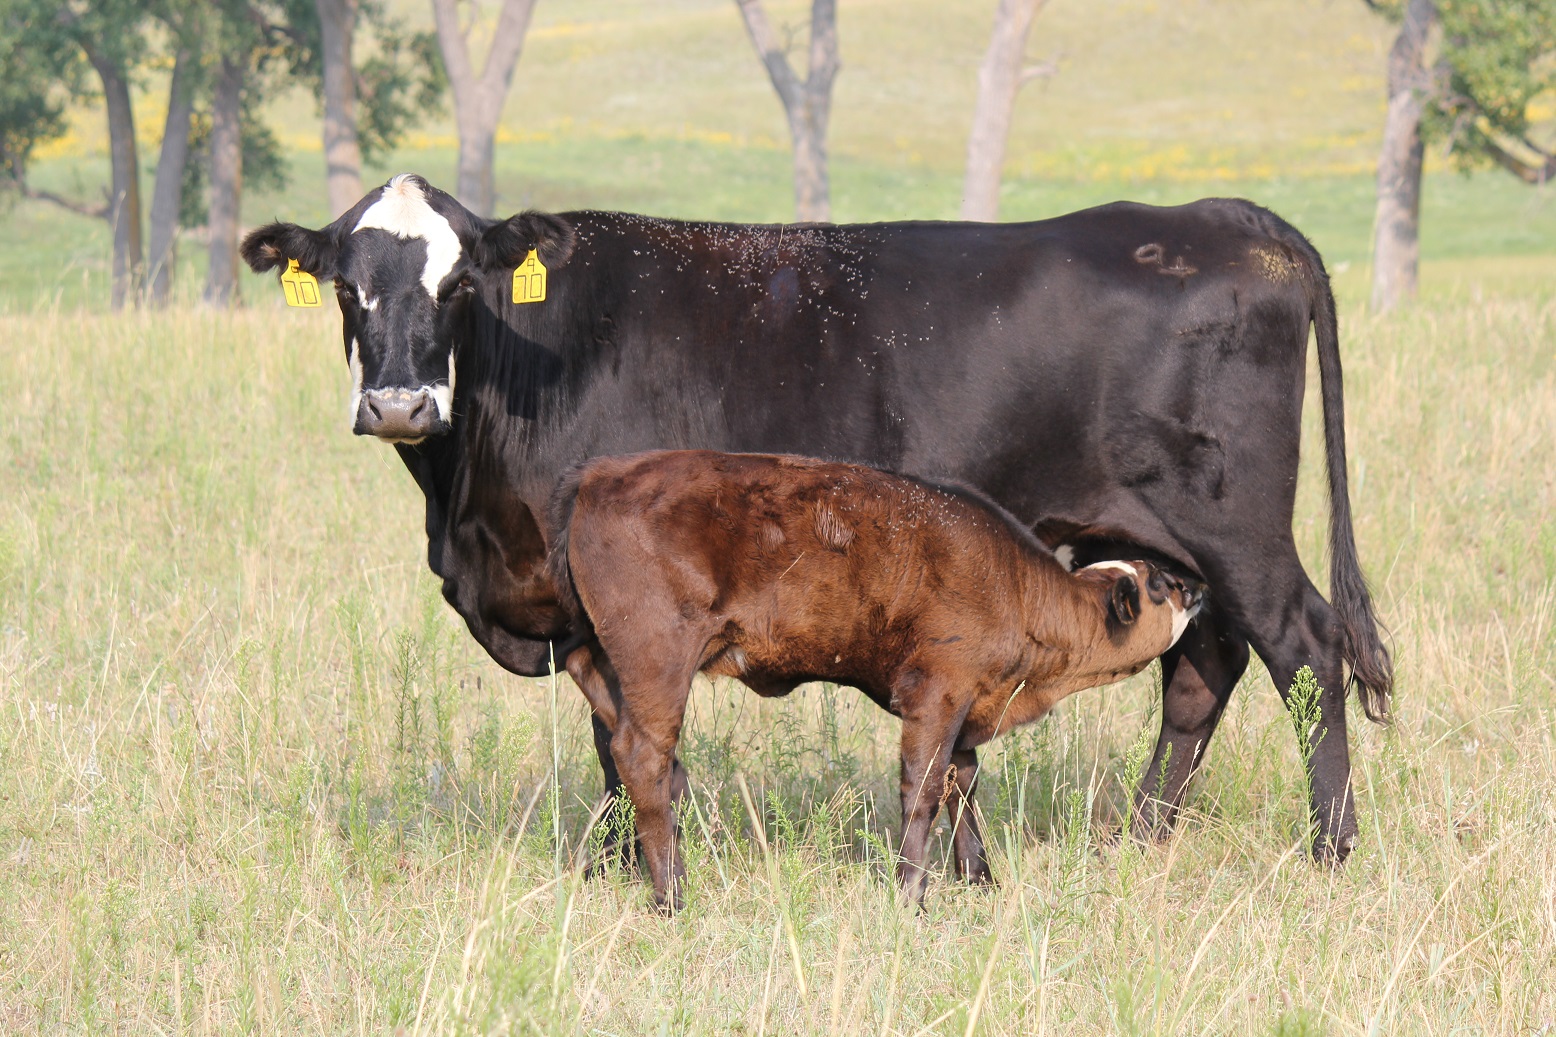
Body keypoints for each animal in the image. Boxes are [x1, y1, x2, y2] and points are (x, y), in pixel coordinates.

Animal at [547, 445, 1201, 903]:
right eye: (1157, 583)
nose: (1197, 587)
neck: (1015, 585)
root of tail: (601, 472)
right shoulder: (937, 690)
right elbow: (924, 789)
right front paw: (912, 895)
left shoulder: (967, 704)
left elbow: (963, 782)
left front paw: (980, 879)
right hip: (659, 657)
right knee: (642, 755)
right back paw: (673, 897)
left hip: (603, 663)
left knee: (629, 749)